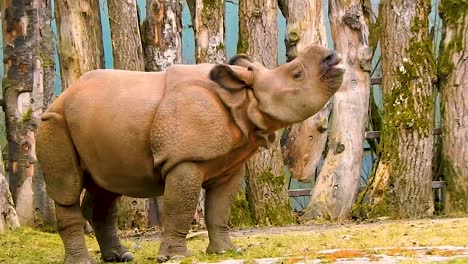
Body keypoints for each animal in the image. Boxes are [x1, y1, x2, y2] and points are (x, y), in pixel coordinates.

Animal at [35, 44, 344, 262]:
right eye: (297, 74)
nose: (333, 57)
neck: (242, 99)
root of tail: (61, 97)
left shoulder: (231, 165)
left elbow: (219, 208)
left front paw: (226, 252)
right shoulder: (184, 160)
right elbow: (180, 207)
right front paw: (173, 257)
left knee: (106, 186)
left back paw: (120, 257)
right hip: (54, 123)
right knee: (67, 189)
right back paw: (82, 261)